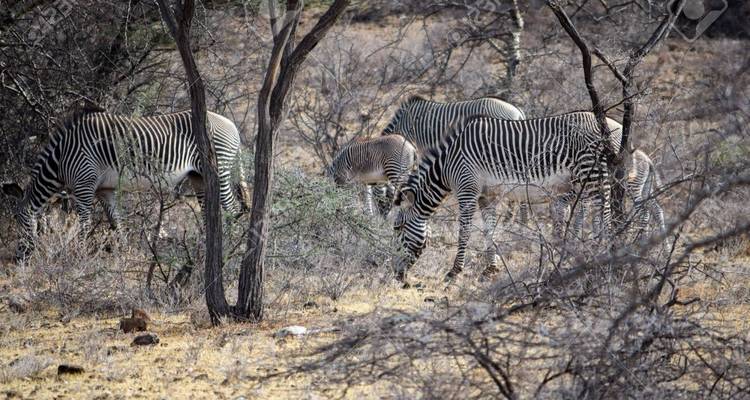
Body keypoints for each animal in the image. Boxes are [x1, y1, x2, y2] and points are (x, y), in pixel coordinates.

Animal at [13, 107, 251, 259]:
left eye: (19, 222)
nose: (18, 259)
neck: (61, 157)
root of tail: (231, 124)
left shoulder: (84, 184)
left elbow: (84, 224)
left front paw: (78, 256)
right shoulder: (104, 189)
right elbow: (116, 222)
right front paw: (125, 254)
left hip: (218, 168)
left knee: (232, 209)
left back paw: (232, 249)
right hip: (199, 177)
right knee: (209, 211)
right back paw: (206, 248)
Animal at [392, 112, 618, 283]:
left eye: (398, 228)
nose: (397, 275)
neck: (447, 164)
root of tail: (606, 123)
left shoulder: (467, 191)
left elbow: (464, 231)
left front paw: (454, 271)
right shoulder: (486, 196)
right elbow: (489, 230)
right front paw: (490, 269)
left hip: (590, 171)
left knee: (603, 211)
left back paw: (604, 253)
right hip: (587, 178)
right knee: (596, 210)